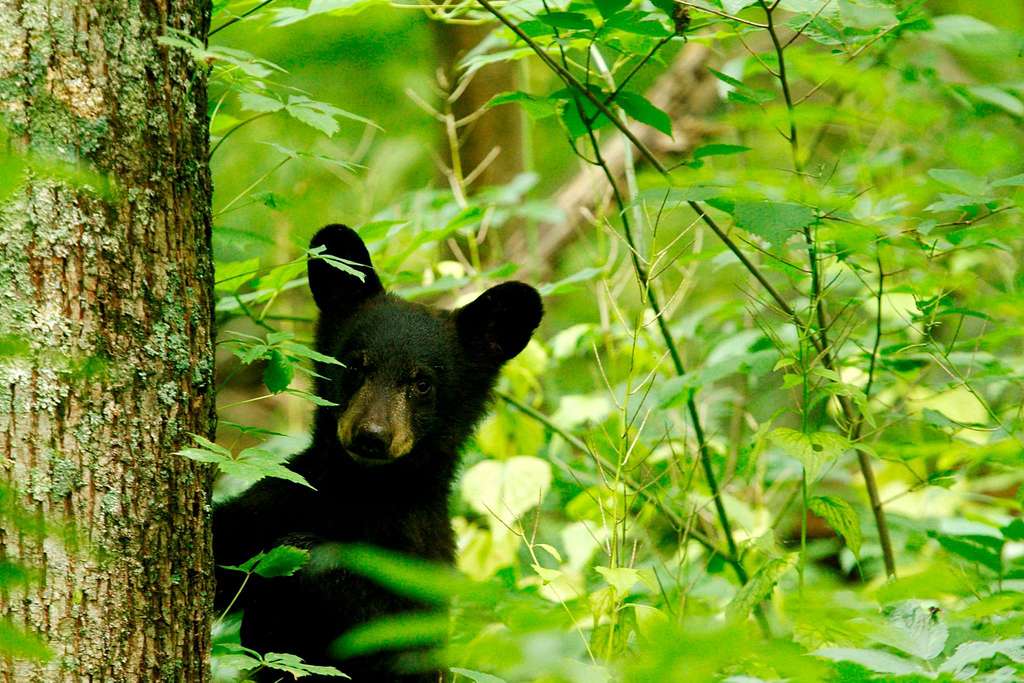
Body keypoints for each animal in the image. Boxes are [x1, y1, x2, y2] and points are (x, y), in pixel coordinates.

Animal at [213, 224, 543, 682]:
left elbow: (393, 636)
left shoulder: (420, 558)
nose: (372, 435)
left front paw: (305, 552)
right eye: (355, 366)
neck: (364, 492)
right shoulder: (276, 502)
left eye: (421, 383)